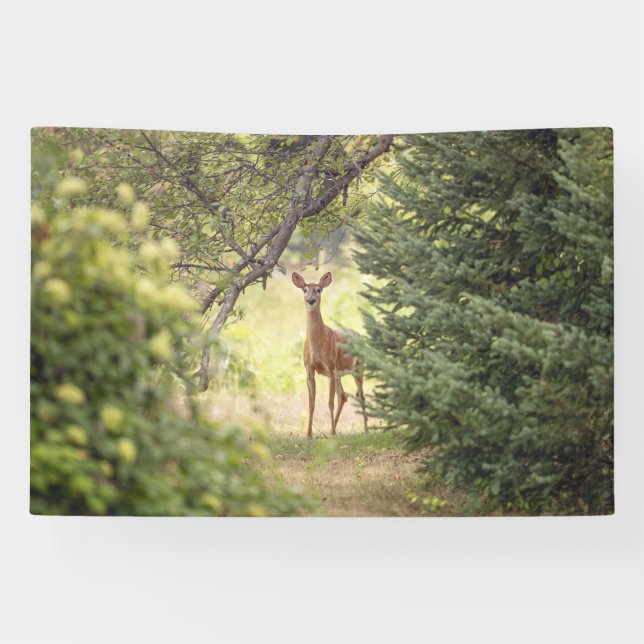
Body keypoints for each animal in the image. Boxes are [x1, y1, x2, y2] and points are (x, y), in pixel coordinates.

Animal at [292, 271, 367, 439]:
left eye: (319, 289)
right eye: (304, 289)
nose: (311, 300)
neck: (317, 346)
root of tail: (359, 334)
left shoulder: (330, 367)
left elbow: (329, 403)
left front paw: (331, 433)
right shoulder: (309, 369)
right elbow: (311, 403)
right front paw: (309, 435)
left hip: (358, 368)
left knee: (361, 396)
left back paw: (365, 429)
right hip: (340, 374)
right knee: (344, 396)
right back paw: (333, 429)